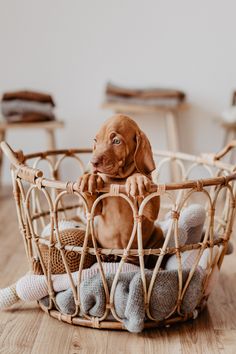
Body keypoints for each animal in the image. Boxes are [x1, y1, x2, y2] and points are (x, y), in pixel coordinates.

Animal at [76, 114, 163, 266]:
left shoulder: (150, 211)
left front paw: (137, 179)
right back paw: (107, 256)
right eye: (96, 141)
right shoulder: (96, 207)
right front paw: (89, 178)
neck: (118, 178)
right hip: (95, 232)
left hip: (158, 232)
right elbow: (94, 207)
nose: (93, 162)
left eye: (116, 141)